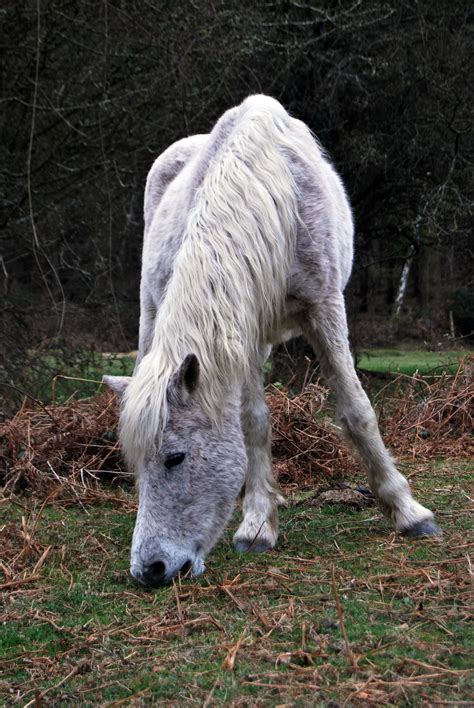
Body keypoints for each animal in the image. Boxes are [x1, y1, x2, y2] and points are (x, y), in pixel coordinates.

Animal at [103, 97, 440, 588]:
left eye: (175, 458)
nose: (149, 570)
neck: (267, 189)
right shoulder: (240, 331)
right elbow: (254, 424)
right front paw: (259, 523)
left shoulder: (324, 307)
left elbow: (357, 411)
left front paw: (408, 511)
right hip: (155, 312)